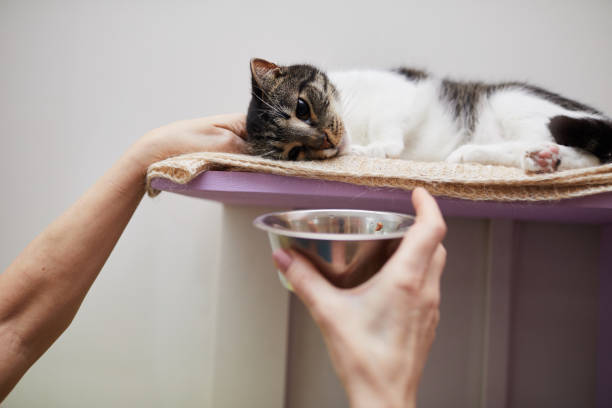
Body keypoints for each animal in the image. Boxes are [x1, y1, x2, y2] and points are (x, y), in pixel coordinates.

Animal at [245, 57, 612, 172]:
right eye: (296, 152)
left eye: (302, 108)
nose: (326, 140)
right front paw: (362, 149)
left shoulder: (404, 92)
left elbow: (388, 130)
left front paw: (378, 147)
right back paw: (537, 159)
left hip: (512, 99)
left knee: (590, 156)